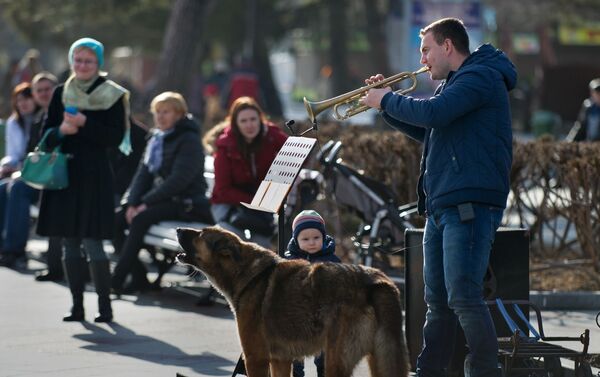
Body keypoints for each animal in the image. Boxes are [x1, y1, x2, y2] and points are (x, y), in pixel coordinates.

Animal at [176, 226, 410, 376]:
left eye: (200, 234)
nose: (178, 229)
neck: (248, 274)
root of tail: (375, 281)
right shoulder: (280, 360)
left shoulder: (256, 358)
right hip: (378, 359)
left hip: (336, 361)